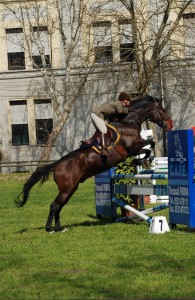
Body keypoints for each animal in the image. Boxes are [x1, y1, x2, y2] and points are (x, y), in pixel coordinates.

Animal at [16, 94, 173, 232]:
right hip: (66, 189)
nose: (170, 125)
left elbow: (150, 145)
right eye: (162, 110)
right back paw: (50, 229)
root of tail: (57, 164)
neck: (128, 122)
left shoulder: (135, 147)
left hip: (71, 189)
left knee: (59, 206)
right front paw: (139, 160)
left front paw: (141, 160)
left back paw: (59, 228)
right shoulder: (132, 147)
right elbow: (150, 145)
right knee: (54, 206)